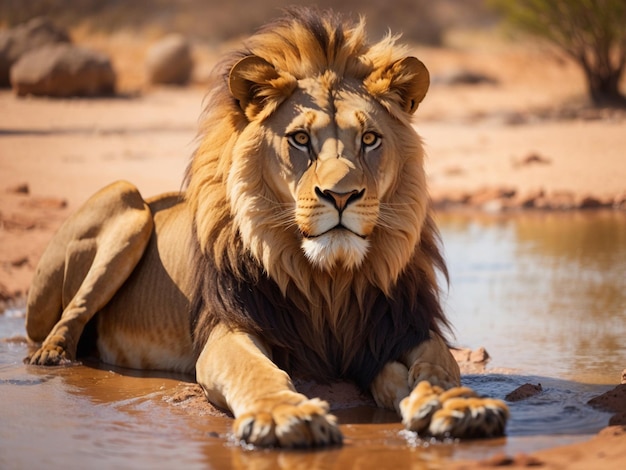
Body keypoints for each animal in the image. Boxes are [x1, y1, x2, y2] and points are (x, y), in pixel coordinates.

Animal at [23, 9, 508, 446]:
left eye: (370, 139)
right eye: (300, 139)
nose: (341, 196)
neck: (328, 281)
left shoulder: (396, 327)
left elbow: (439, 365)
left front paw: (458, 405)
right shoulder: (227, 326)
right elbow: (255, 370)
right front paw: (284, 417)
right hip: (128, 204)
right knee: (65, 319)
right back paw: (51, 356)